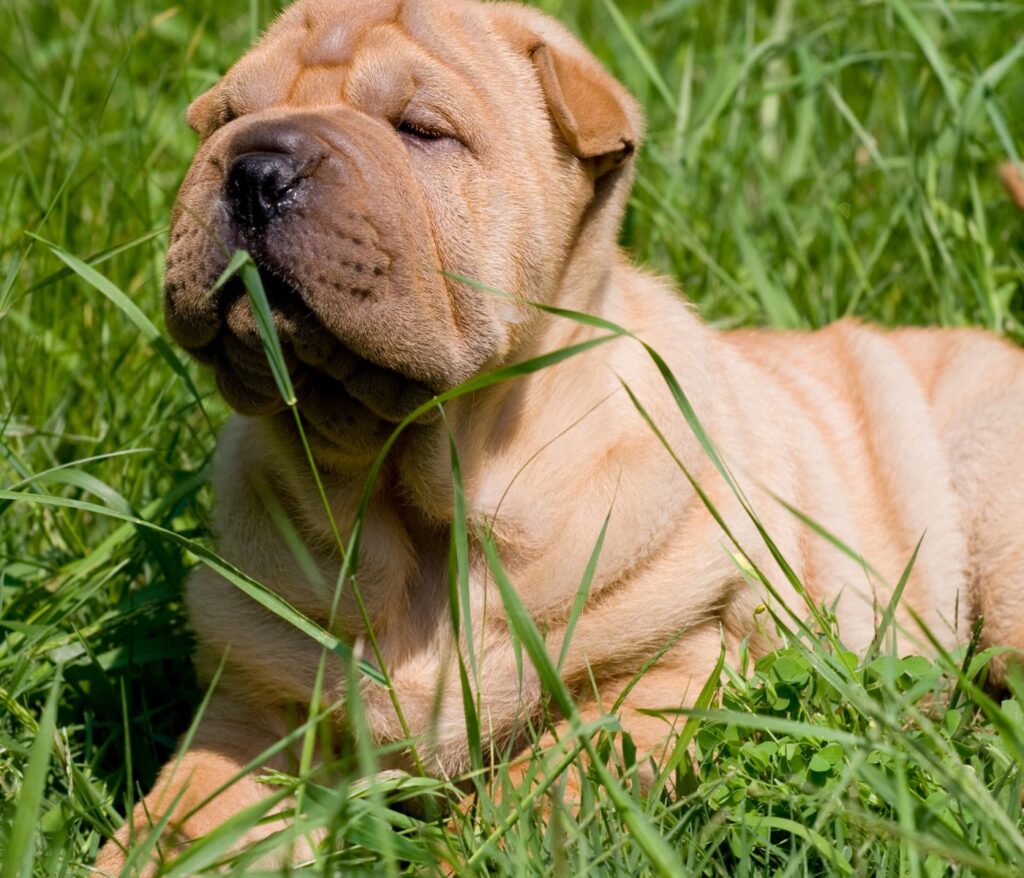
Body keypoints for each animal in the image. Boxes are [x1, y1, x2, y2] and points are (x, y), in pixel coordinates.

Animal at [96, 0, 1024, 864]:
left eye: (421, 131)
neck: (419, 503)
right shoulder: (256, 708)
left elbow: (538, 796)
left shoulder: (666, 671)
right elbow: (182, 820)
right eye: (224, 119)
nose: (255, 170)